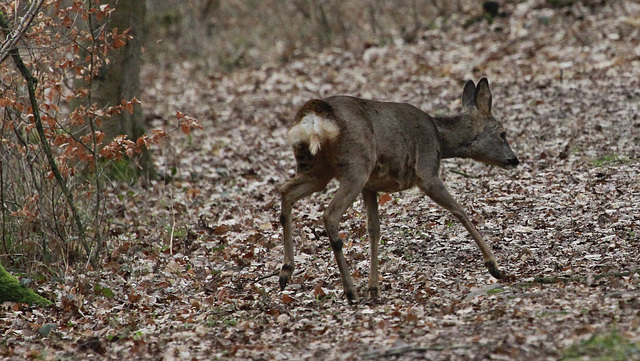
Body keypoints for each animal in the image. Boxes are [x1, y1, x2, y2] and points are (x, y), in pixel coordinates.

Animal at [278, 78, 516, 300]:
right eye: (503, 133)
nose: (514, 159)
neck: (440, 140)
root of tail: (314, 116)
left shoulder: (370, 186)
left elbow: (373, 229)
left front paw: (374, 287)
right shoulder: (427, 172)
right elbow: (460, 211)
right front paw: (493, 266)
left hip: (316, 169)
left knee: (285, 192)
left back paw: (286, 272)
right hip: (356, 166)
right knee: (329, 214)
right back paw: (349, 291)